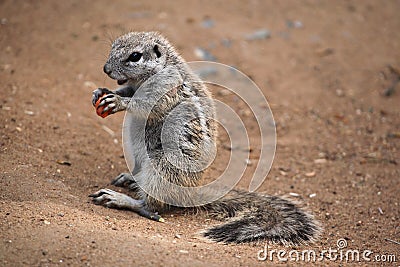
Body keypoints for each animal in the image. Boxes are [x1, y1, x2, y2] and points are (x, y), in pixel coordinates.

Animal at [89, 31, 320, 245]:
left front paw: (119, 101)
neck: (161, 68)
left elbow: (145, 105)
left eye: (135, 56)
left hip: (163, 167)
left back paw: (121, 199)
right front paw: (102, 91)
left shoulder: (166, 89)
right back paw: (129, 178)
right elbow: (126, 89)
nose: (106, 69)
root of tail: (189, 194)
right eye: (113, 45)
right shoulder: (134, 86)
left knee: (152, 206)